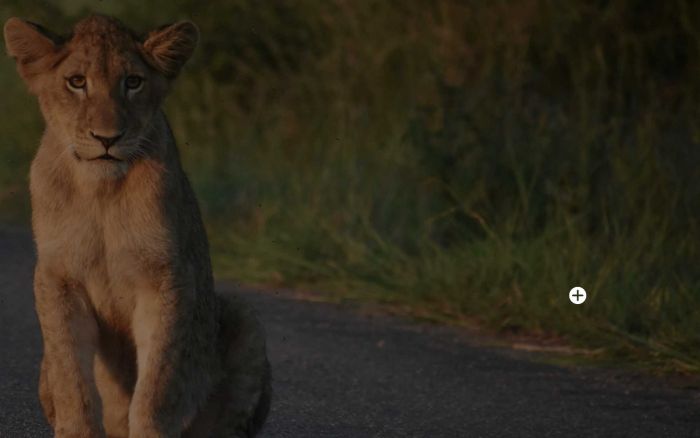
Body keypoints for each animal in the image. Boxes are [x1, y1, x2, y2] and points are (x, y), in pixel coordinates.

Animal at [3, 15, 271, 438]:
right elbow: (71, 375)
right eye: (76, 82)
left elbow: (157, 381)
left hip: (243, 318)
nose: (107, 138)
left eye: (133, 82)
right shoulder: (57, 277)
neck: (100, 193)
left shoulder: (166, 277)